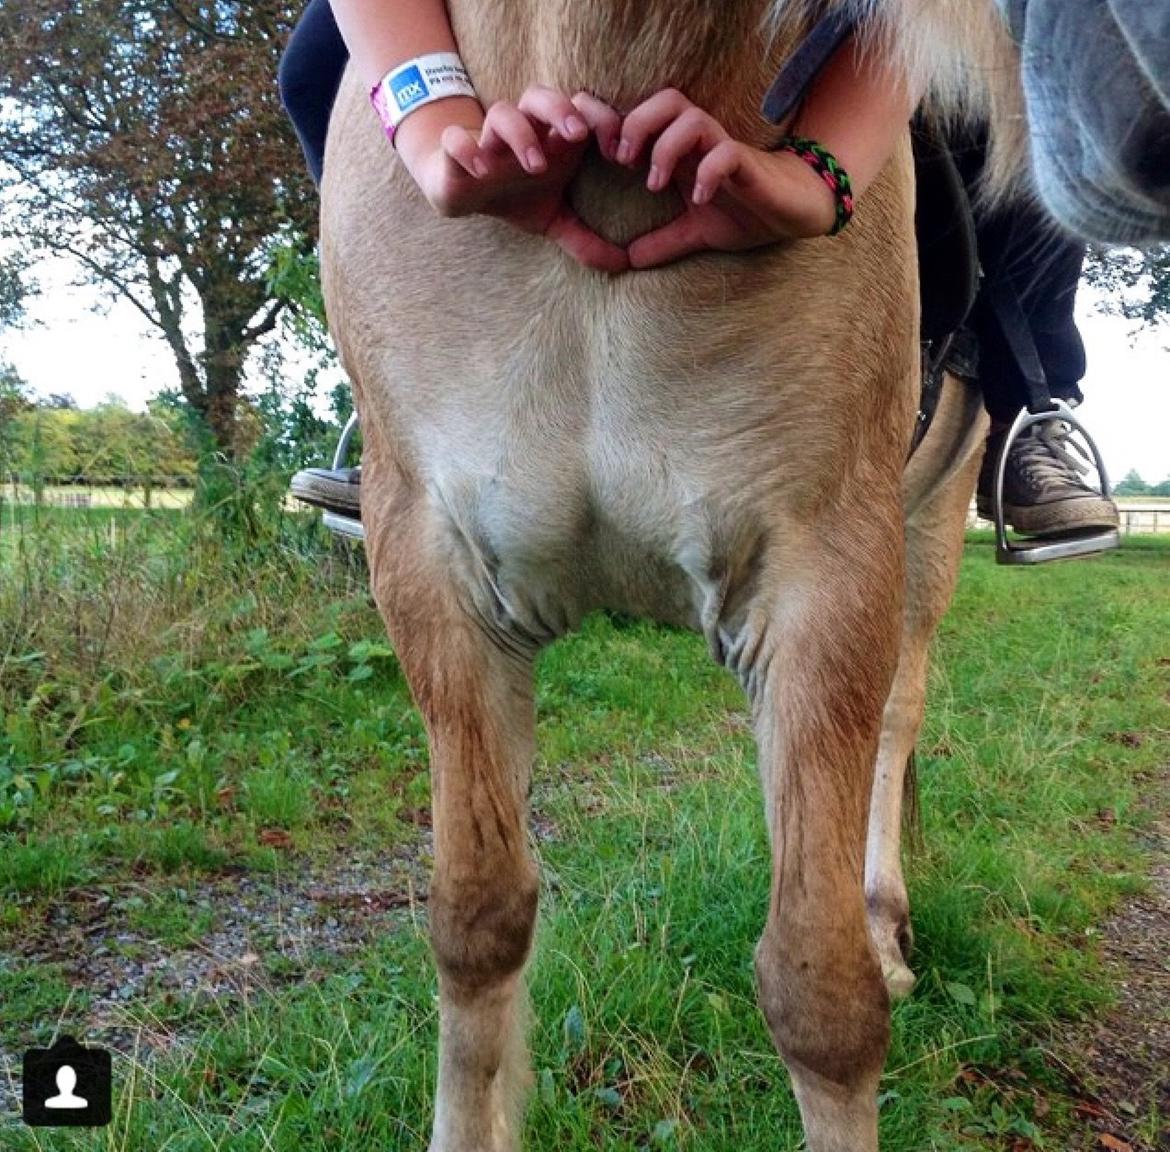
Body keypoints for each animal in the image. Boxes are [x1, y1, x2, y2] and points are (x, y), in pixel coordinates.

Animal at [320, 4, 1024, 1146]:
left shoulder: (827, 577)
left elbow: (822, 996)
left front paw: (858, 964)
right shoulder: (431, 566)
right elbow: (477, 921)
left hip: (925, 531)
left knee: (895, 723)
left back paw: (885, 924)